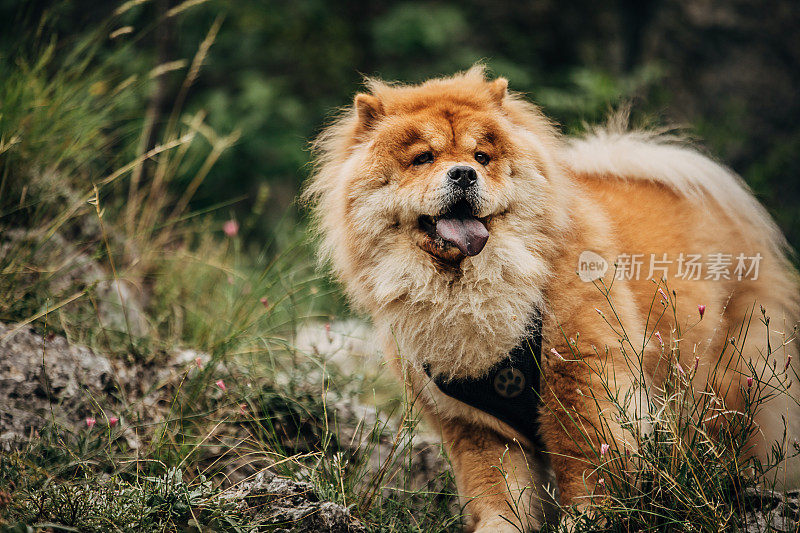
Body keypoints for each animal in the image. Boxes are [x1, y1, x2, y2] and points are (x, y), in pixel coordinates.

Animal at [302, 67, 800, 532]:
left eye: (481, 157)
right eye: (422, 159)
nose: (463, 172)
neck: (470, 295)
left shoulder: (582, 380)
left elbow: (588, 467)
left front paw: (586, 521)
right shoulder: (475, 424)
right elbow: (498, 489)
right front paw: (500, 526)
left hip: (721, 379)